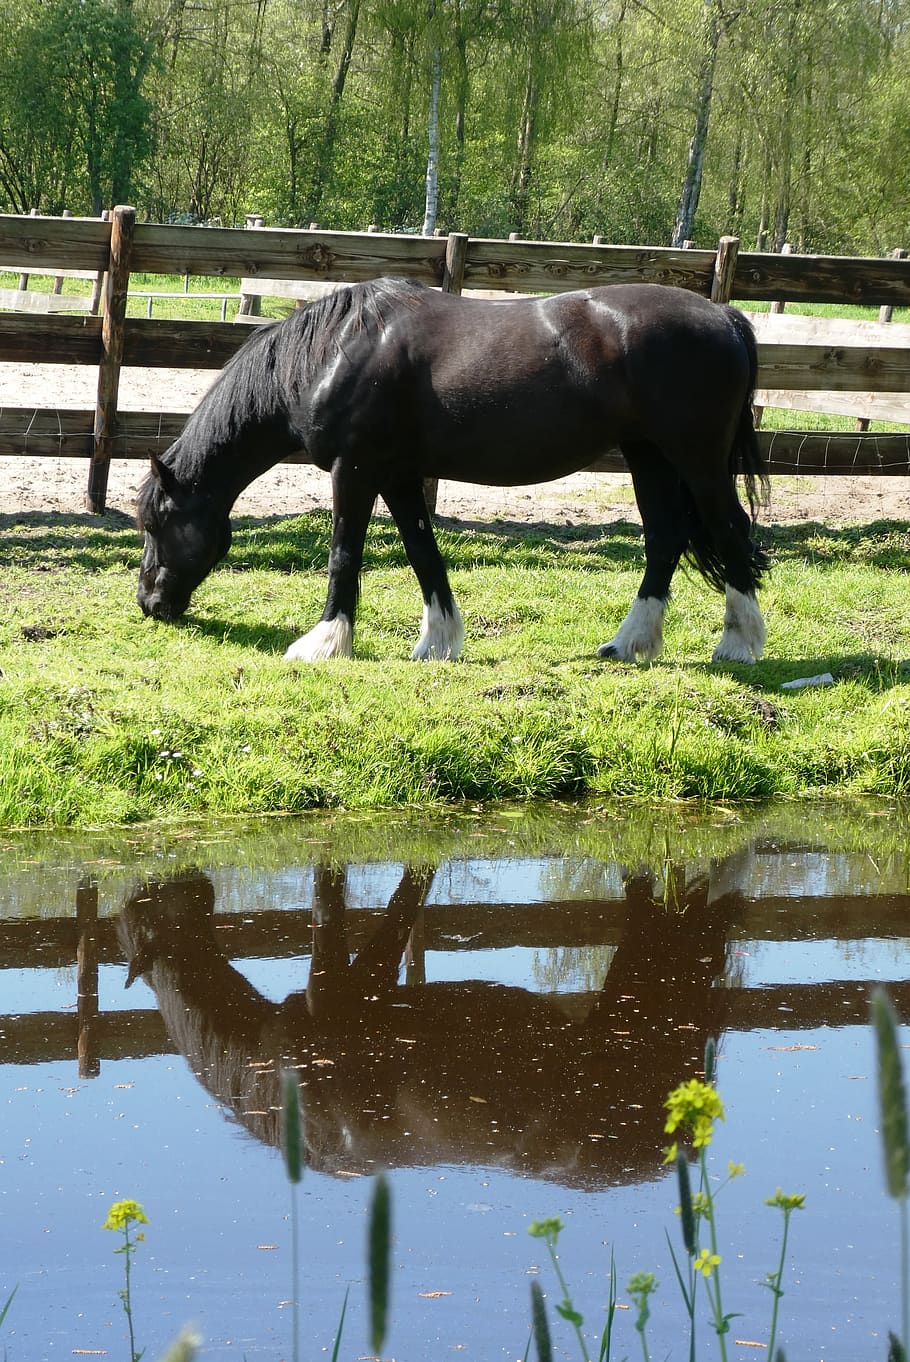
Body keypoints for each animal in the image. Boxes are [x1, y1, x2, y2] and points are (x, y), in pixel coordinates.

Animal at [136, 277, 770, 664]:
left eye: (154, 524)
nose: (149, 604)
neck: (334, 352)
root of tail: (725, 315)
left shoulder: (354, 471)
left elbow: (345, 553)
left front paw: (324, 643)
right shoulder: (396, 476)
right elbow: (423, 552)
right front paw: (438, 643)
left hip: (696, 461)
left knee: (729, 531)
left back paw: (738, 645)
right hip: (648, 457)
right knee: (665, 538)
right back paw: (628, 643)